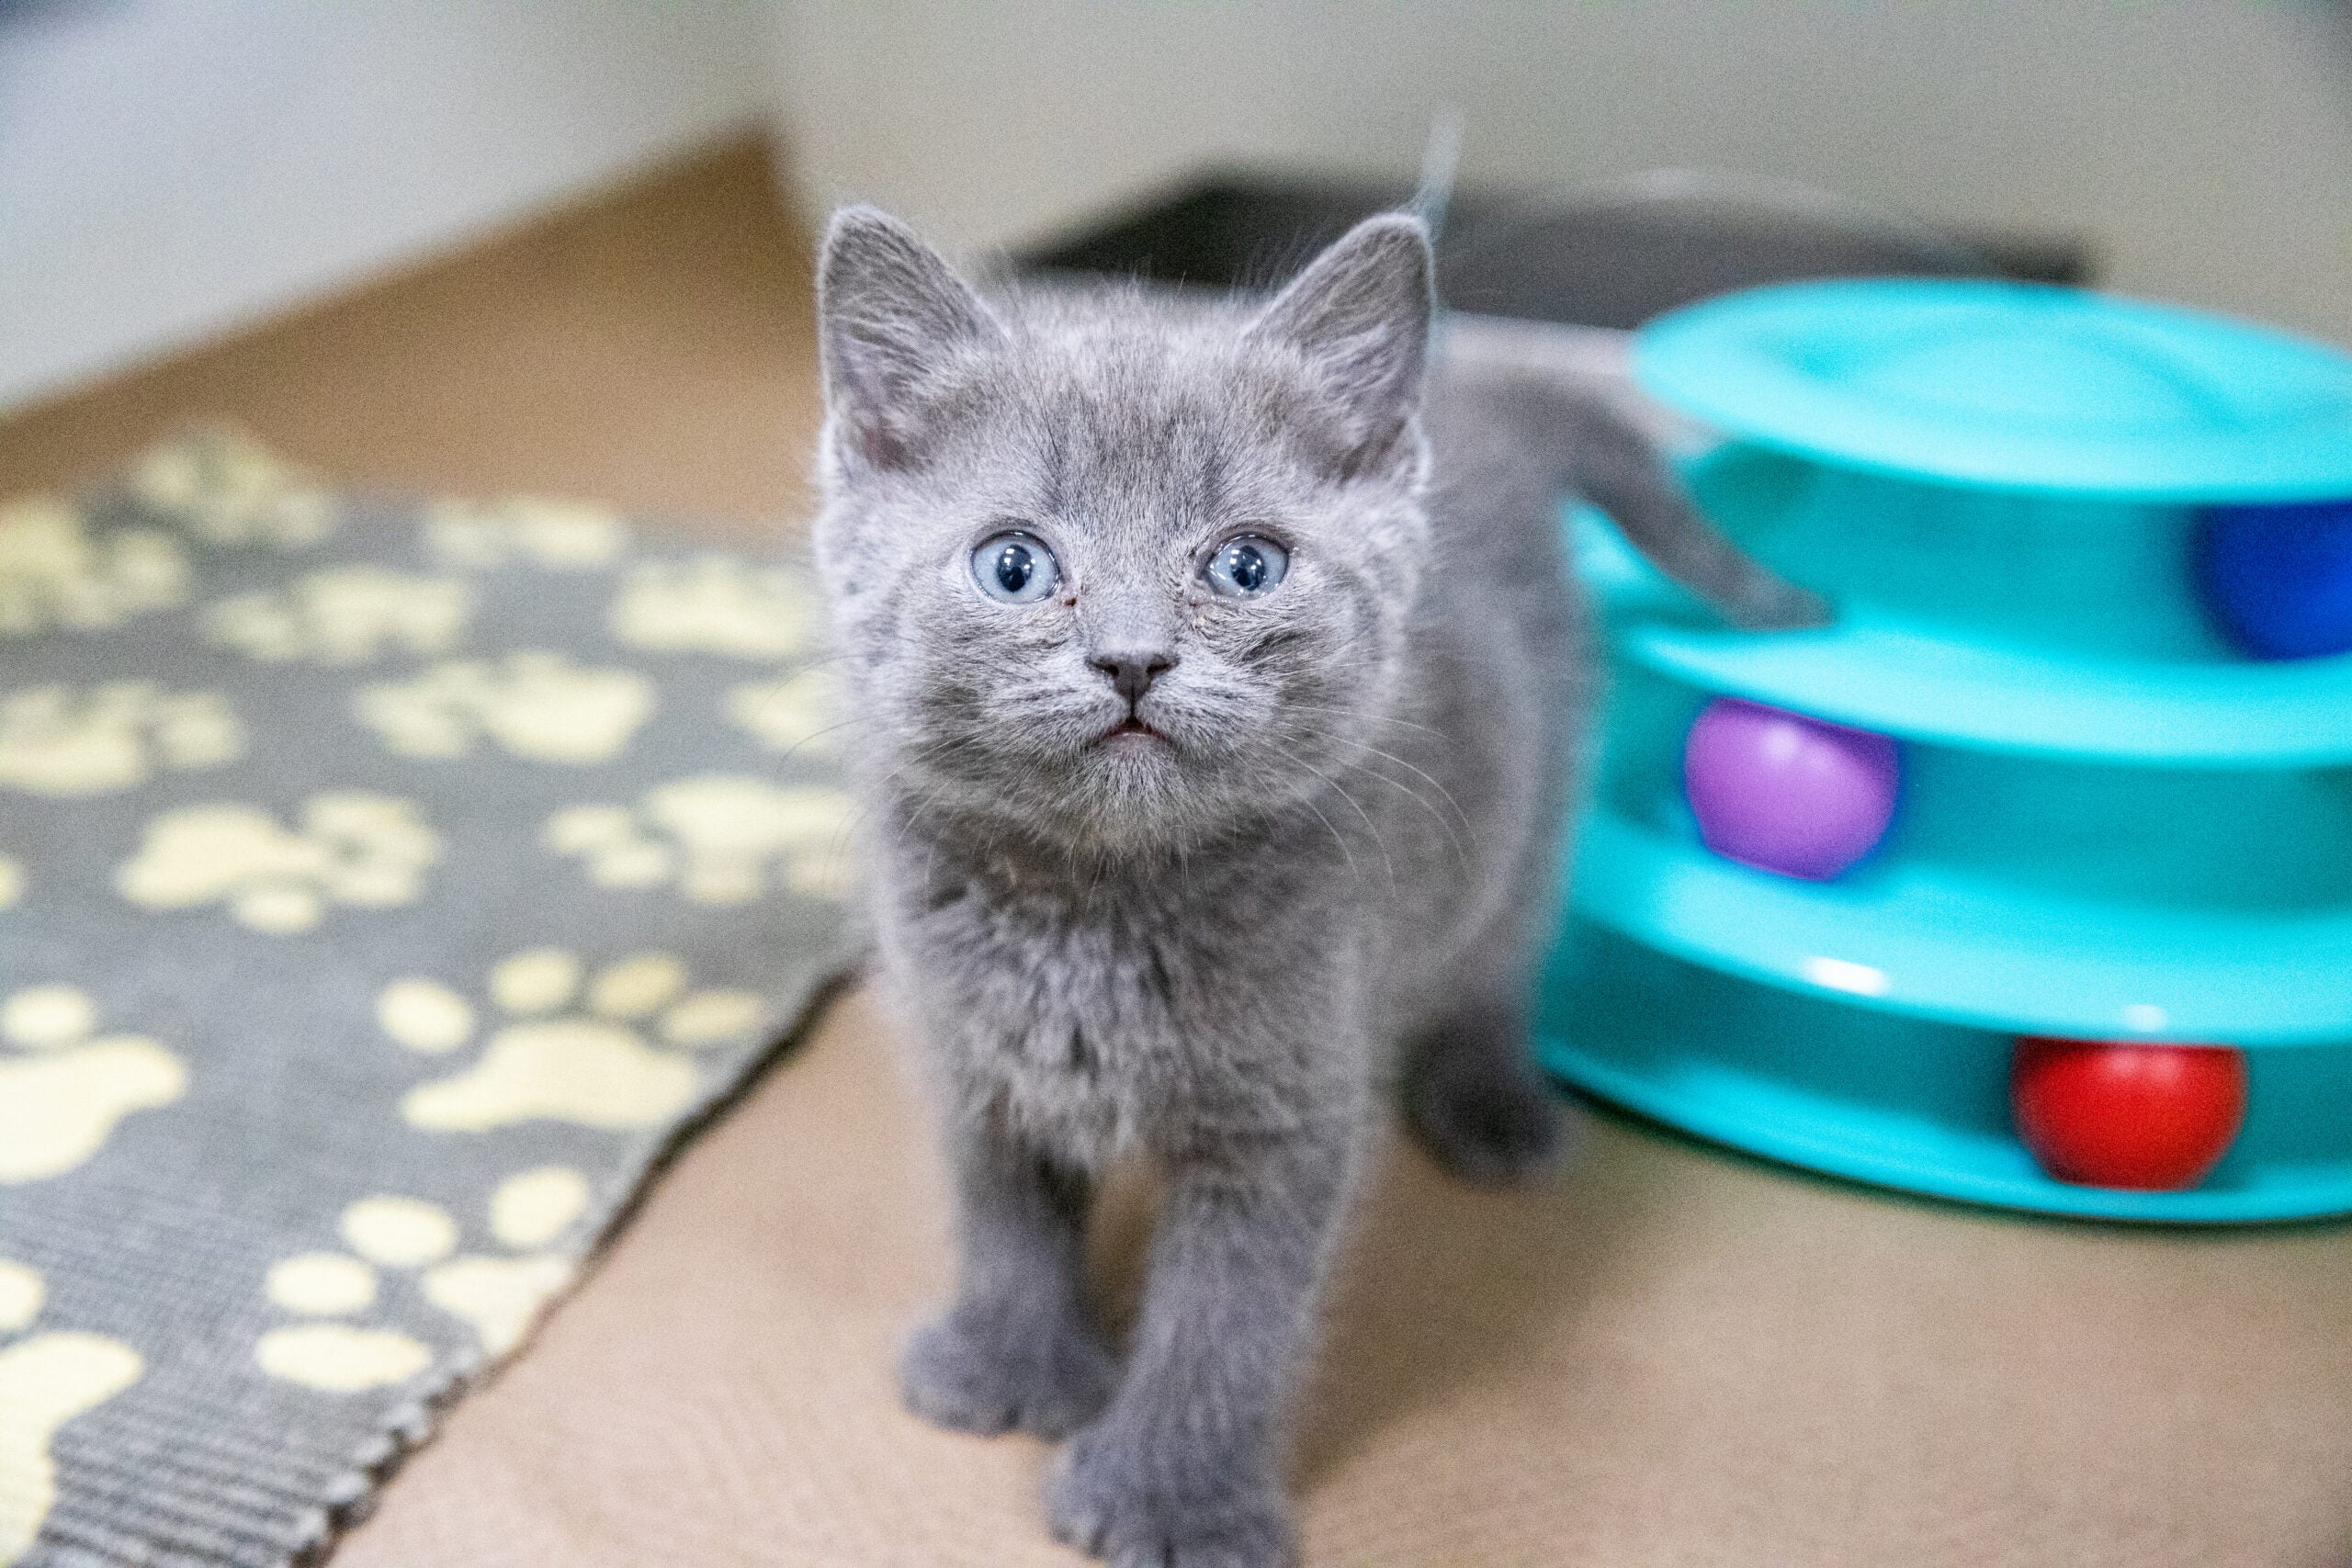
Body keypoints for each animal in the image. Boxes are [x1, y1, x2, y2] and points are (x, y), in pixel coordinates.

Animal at [818, 211, 1825, 1568]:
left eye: (1245, 566)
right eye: (1013, 565)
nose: (1131, 659)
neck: (1094, 901)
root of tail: (1482, 392)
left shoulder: (1285, 1105)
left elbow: (1227, 1318)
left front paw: (1169, 1498)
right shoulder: (972, 1050)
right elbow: (1003, 1214)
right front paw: (1012, 1364)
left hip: (1533, 802)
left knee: (1502, 956)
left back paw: (1492, 1102)